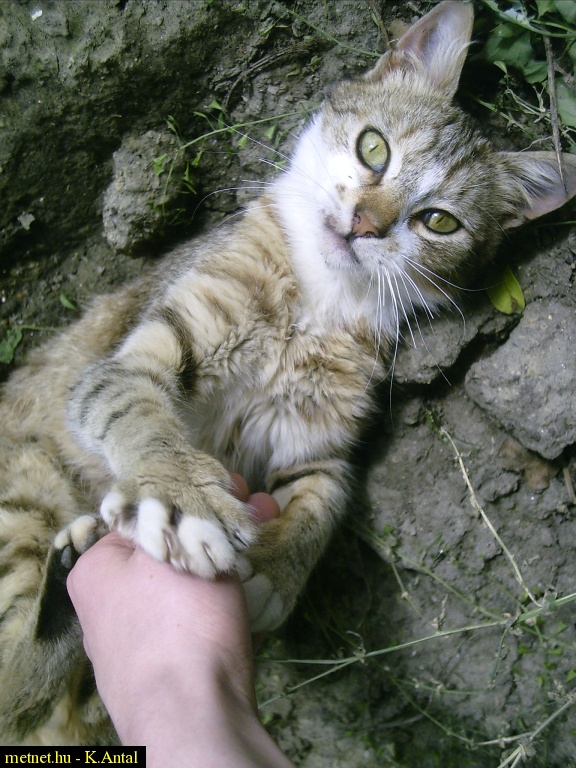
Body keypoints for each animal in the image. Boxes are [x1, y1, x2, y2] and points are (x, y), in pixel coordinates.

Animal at [1, 0, 575, 747]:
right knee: (15, 679)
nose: (365, 224)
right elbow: (139, 411)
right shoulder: (141, 354)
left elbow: (324, 504)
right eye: (373, 148)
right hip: (26, 490)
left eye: (438, 221)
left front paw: (276, 572)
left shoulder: (318, 445)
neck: (317, 305)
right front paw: (179, 495)